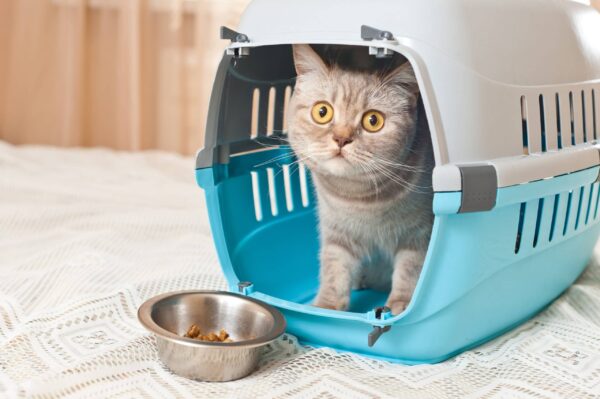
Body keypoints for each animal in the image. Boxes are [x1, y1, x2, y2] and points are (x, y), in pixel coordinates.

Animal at [288, 45, 434, 316]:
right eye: (322, 112)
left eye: (373, 120)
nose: (341, 138)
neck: (360, 200)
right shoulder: (337, 234)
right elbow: (334, 270)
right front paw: (326, 308)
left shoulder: (419, 236)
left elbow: (410, 270)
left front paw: (401, 305)